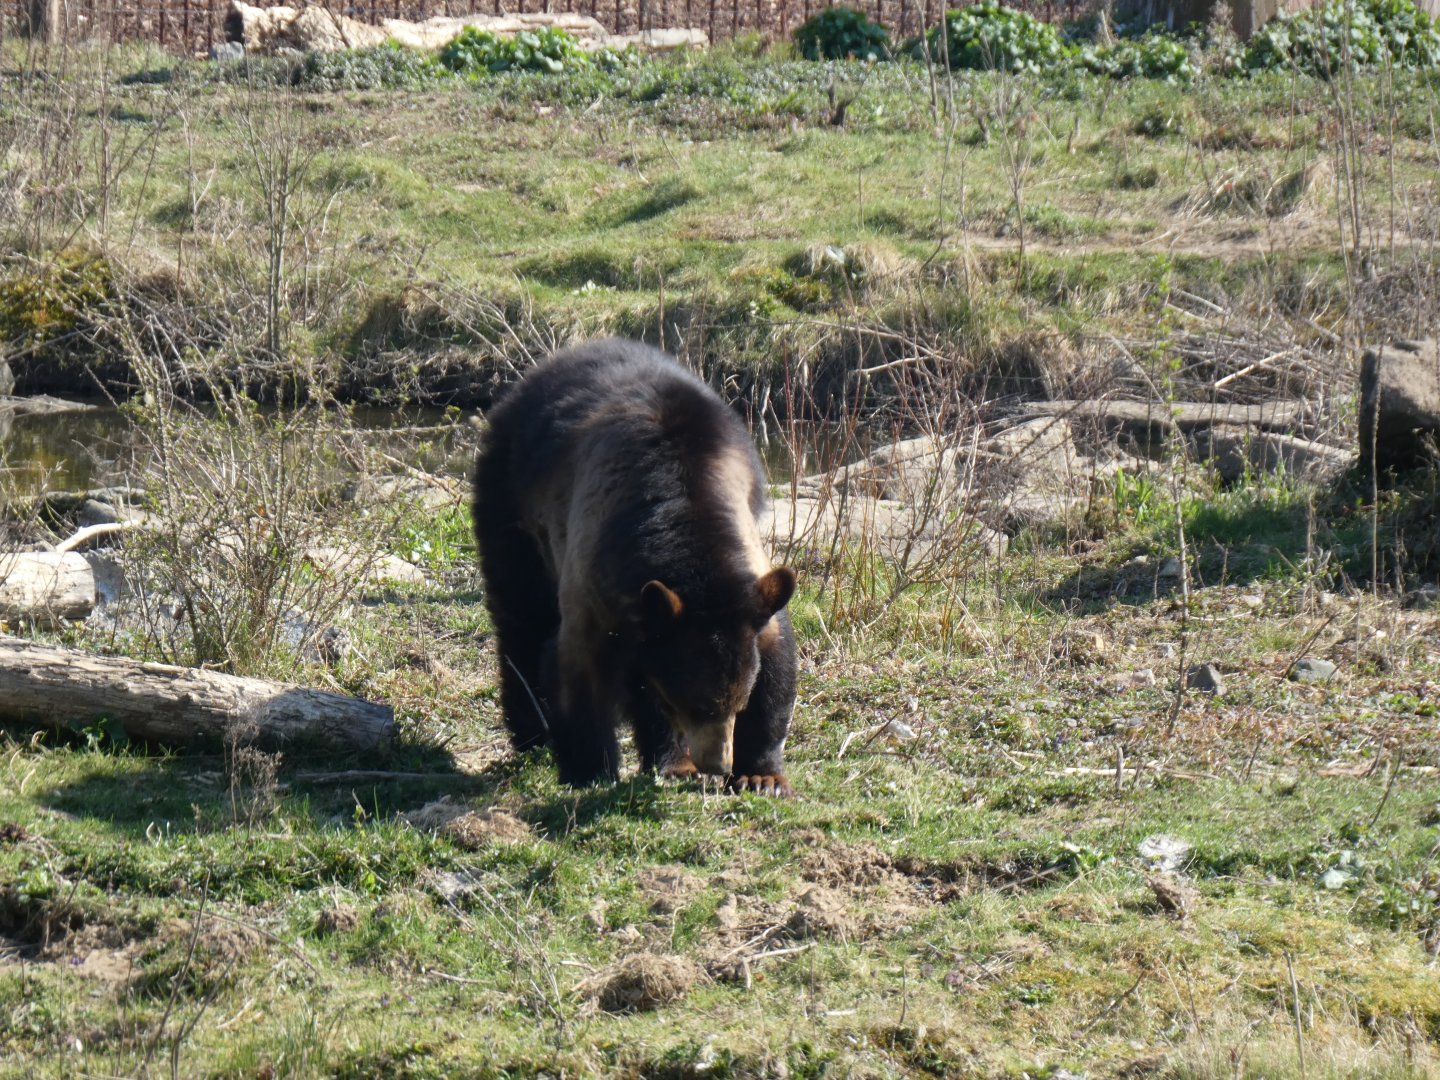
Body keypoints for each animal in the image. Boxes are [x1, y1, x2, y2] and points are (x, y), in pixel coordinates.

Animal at [473, 339, 798, 796]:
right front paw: (590, 769)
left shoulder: (749, 589)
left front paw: (761, 775)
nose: (718, 763)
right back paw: (532, 732)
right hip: (510, 502)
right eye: (695, 703)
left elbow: (776, 664)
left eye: (738, 701)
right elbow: (578, 665)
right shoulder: (596, 574)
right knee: (521, 618)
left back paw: (673, 762)